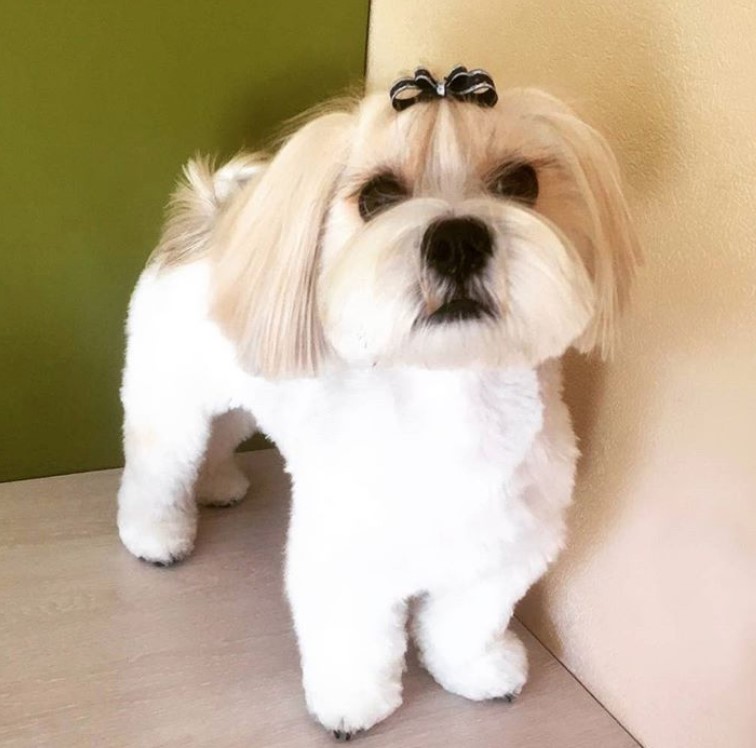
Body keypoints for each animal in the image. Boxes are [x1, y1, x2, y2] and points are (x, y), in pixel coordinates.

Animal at [116, 67, 636, 740]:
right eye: (377, 196)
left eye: (521, 182)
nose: (458, 239)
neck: (452, 407)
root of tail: (208, 219)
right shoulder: (345, 555)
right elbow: (353, 639)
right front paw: (351, 704)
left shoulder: (504, 550)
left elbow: (468, 623)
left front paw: (477, 672)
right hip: (168, 399)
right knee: (159, 466)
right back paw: (156, 534)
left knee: (225, 434)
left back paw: (218, 484)